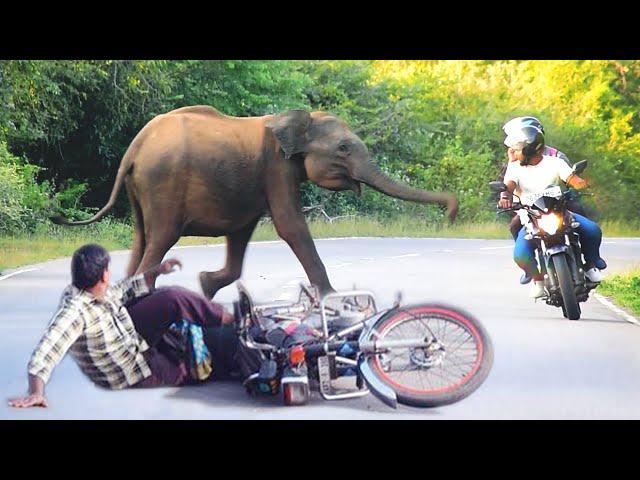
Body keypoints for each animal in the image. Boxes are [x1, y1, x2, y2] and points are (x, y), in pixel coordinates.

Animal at [52, 107, 458, 298]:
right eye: (344, 148)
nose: (452, 214)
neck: (298, 119)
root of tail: (135, 146)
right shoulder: (276, 167)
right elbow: (290, 226)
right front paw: (333, 297)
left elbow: (242, 231)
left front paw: (205, 285)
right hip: (162, 182)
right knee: (160, 238)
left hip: (141, 187)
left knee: (140, 238)